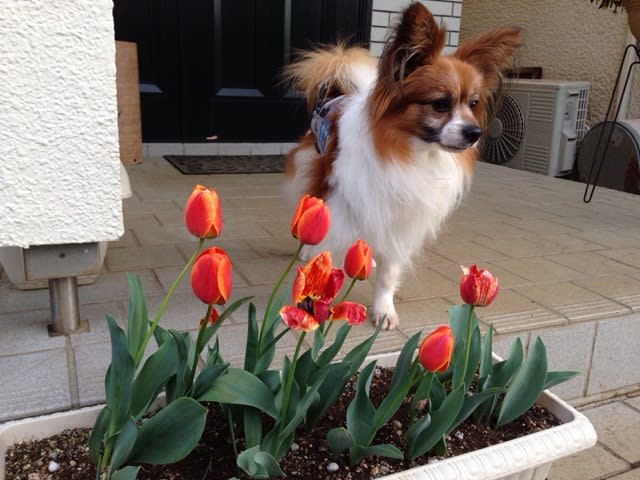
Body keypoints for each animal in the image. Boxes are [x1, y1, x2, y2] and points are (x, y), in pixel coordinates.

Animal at [284, 1, 520, 328]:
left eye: (473, 104)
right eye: (440, 104)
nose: (475, 133)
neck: (413, 152)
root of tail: (334, 92)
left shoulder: (400, 218)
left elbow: (388, 272)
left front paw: (383, 310)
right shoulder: (345, 204)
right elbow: (330, 248)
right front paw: (318, 298)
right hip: (315, 175)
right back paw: (308, 249)